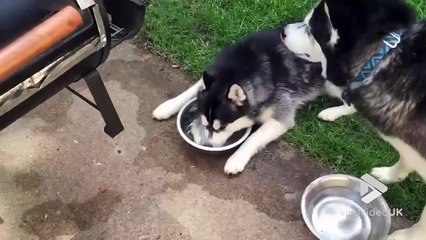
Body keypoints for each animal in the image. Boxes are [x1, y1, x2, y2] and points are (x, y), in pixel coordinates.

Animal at [152, 0, 412, 174]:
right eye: (206, 125)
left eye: (222, 127)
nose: (209, 144)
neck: (244, 69)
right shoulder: (213, 78)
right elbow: (192, 89)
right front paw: (167, 106)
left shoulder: (280, 116)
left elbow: (253, 139)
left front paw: (236, 159)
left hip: (338, 81)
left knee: (354, 103)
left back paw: (332, 112)